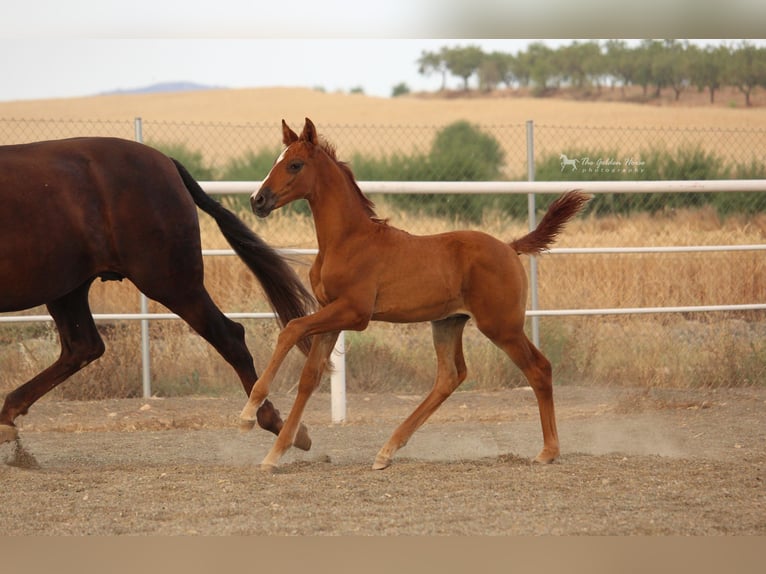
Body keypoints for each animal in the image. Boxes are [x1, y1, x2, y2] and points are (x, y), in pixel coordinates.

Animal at [0, 137, 316, 448]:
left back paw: (277, 424)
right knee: (83, 346)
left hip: (169, 280)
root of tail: (166, 162)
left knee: (229, 336)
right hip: (69, 287)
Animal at [242, 118, 592, 472]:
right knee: (450, 376)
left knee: (538, 368)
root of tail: (510, 247)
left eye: (295, 164)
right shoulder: (331, 313)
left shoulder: (354, 313)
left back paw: (548, 451)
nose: (258, 201)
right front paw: (275, 453)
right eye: (276, 161)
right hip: (448, 322)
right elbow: (309, 377)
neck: (347, 240)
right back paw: (386, 451)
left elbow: (291, 329)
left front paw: (248, 413)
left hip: (501, 326)